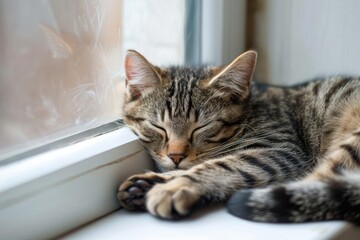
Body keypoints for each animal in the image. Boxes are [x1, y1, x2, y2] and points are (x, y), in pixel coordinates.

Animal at [117, 49, 360, 223]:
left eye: (201, 127)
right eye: (158, 127)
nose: (176, 156)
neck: (251, 110)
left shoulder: (282, 149)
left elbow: (224, 164)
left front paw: (175, 186)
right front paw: (149, 183)